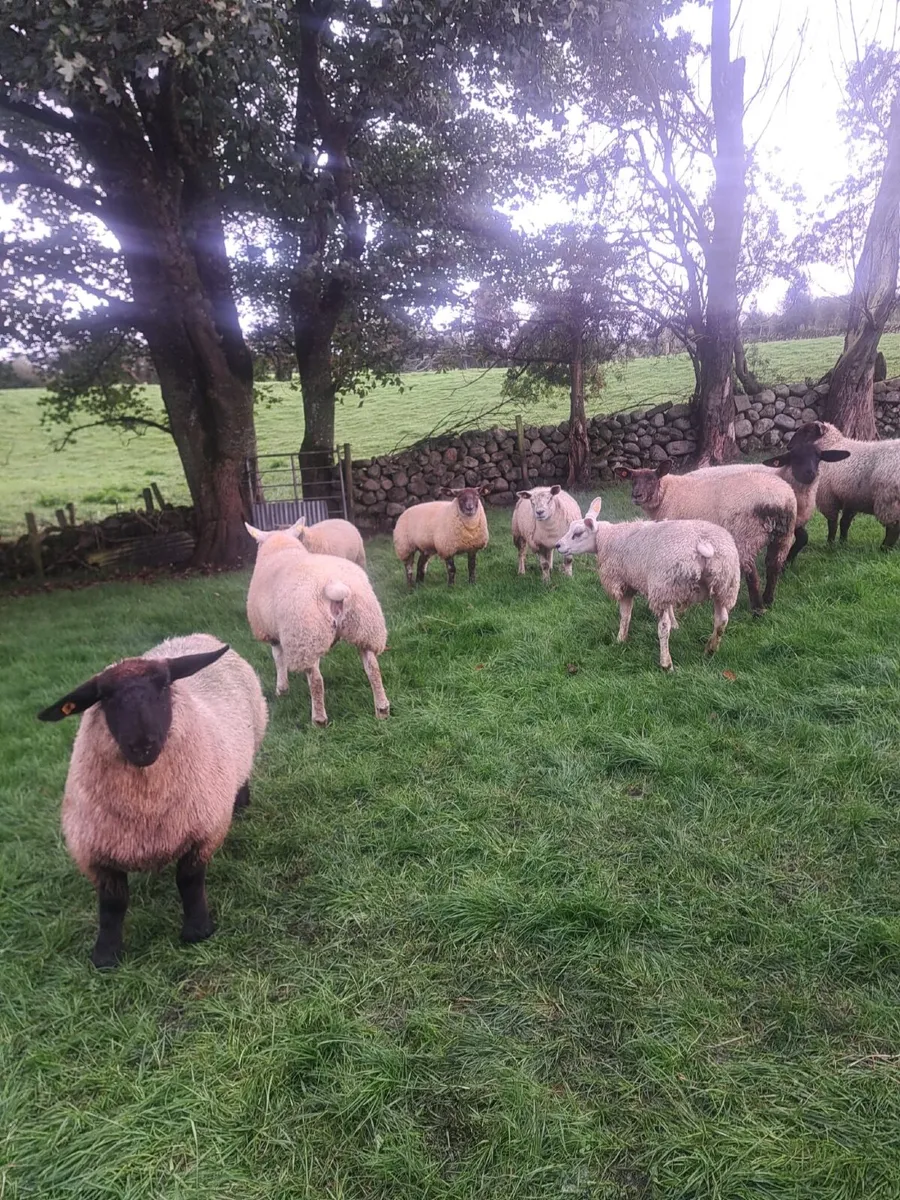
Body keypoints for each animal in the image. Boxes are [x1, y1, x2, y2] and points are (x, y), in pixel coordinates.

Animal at [37, 634, 268, 968]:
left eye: (164, 686)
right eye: (106, 697)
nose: (143, 745)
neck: (146, 805)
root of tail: (195, 636)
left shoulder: (204, 830)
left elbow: (189, 881)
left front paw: (197, 930)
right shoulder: (93, 850)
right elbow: (113, 903)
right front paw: (106, 954)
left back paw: (241, 804)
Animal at [245, 519, 390, 724]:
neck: (282, 547)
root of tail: (333, 584)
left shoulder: (272, 633)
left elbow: (278, 659)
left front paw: (282, 689)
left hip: (306, 636)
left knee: (316, 680)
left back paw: (319, 720)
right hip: (366, 627)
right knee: (373, 669)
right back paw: (382, 709)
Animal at [556, 498, 741, 669]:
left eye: (578, 533)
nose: (558, 545)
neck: (607, 539)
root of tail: (703, 543)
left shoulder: (625, 583)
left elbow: (625, 614)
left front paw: (620, 639)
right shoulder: (668, 589)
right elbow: (670, 609)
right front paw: (676, 624)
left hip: (667, 582)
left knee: (663, 627)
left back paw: (666, 663)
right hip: (723, 585)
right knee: (722, 620)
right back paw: (710, 649)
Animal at [616, 460, 796, 614]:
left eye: (652, 479)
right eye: (632, 480)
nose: (636, 495)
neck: (666, 495)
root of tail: (778, 500)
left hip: (746, 537)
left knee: (753, 576)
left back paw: (757, 610)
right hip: (783, 536)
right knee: (774, 566)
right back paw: (768, 600)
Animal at [790, 419, 900, 550]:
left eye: (808, 431)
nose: (789, 446)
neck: (830, 445)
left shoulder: (829, 497)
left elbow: (832, 524)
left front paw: (830, 544)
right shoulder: (851, 498)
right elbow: (844, 522)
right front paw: (843, 543)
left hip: (888, 501)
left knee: (893, 529)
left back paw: (884, 549)